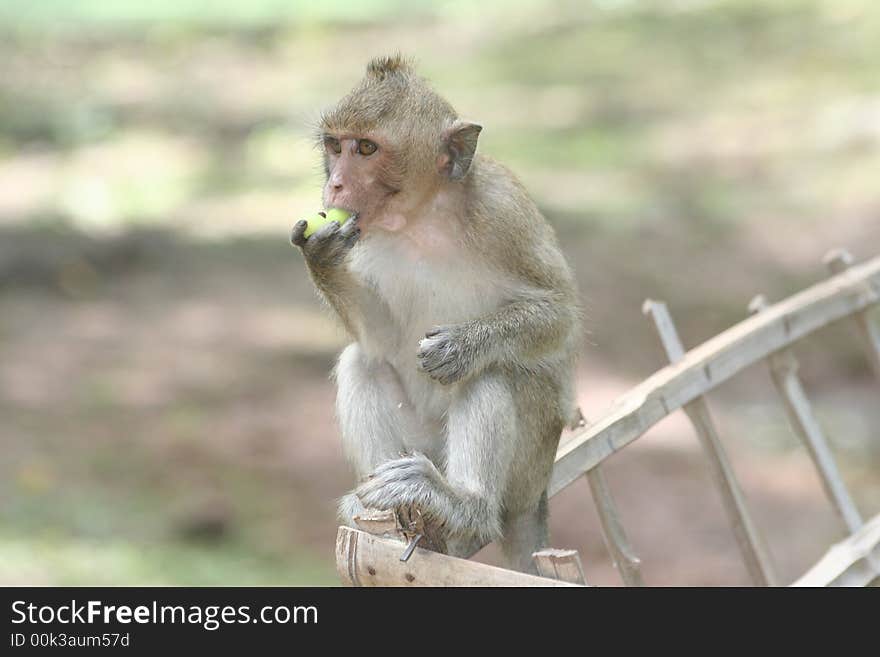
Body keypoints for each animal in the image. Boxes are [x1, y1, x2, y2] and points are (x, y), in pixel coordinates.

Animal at [290, 53, 584, 572]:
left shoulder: (504, 209)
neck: (421, 217)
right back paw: (379, 499)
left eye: (366, 147)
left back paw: (464, 504)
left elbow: (561, 314)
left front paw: (462, 345)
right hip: (422, 440)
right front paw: (321, 255)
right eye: (334, 145)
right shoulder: (364, 238)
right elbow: (380, 338)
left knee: (493, 373)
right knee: (362, 362)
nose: (335, 184)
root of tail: (537, 495)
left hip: (529, 465)